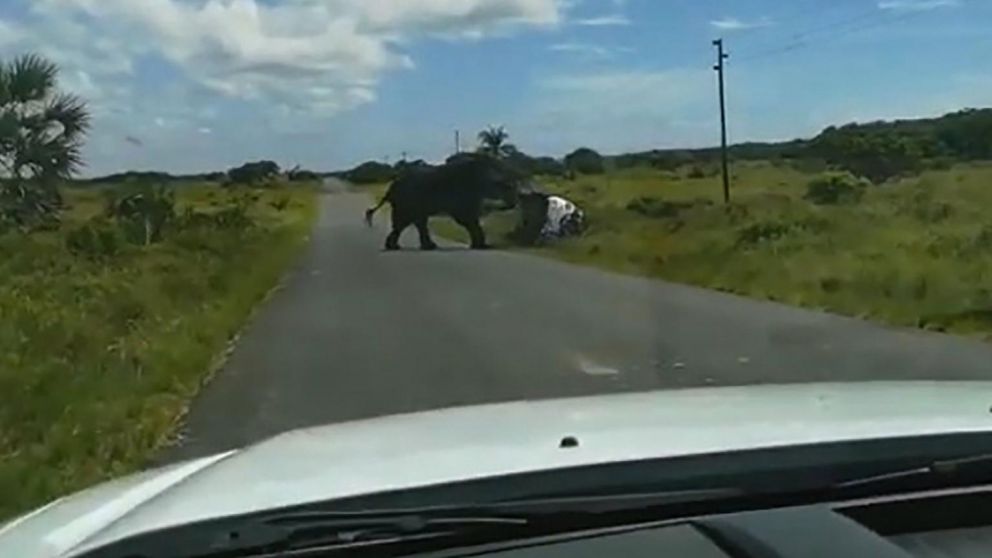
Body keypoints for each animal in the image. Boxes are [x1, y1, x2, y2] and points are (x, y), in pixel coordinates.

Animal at [365, 154, 522, 251]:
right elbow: (466, 218)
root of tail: (391, 188)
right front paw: (482, 246)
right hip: (408, 200)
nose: (511, 204)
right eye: (507, 187)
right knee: (405, 222)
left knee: (411, 222)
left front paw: (481, 245)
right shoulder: (463, 192)